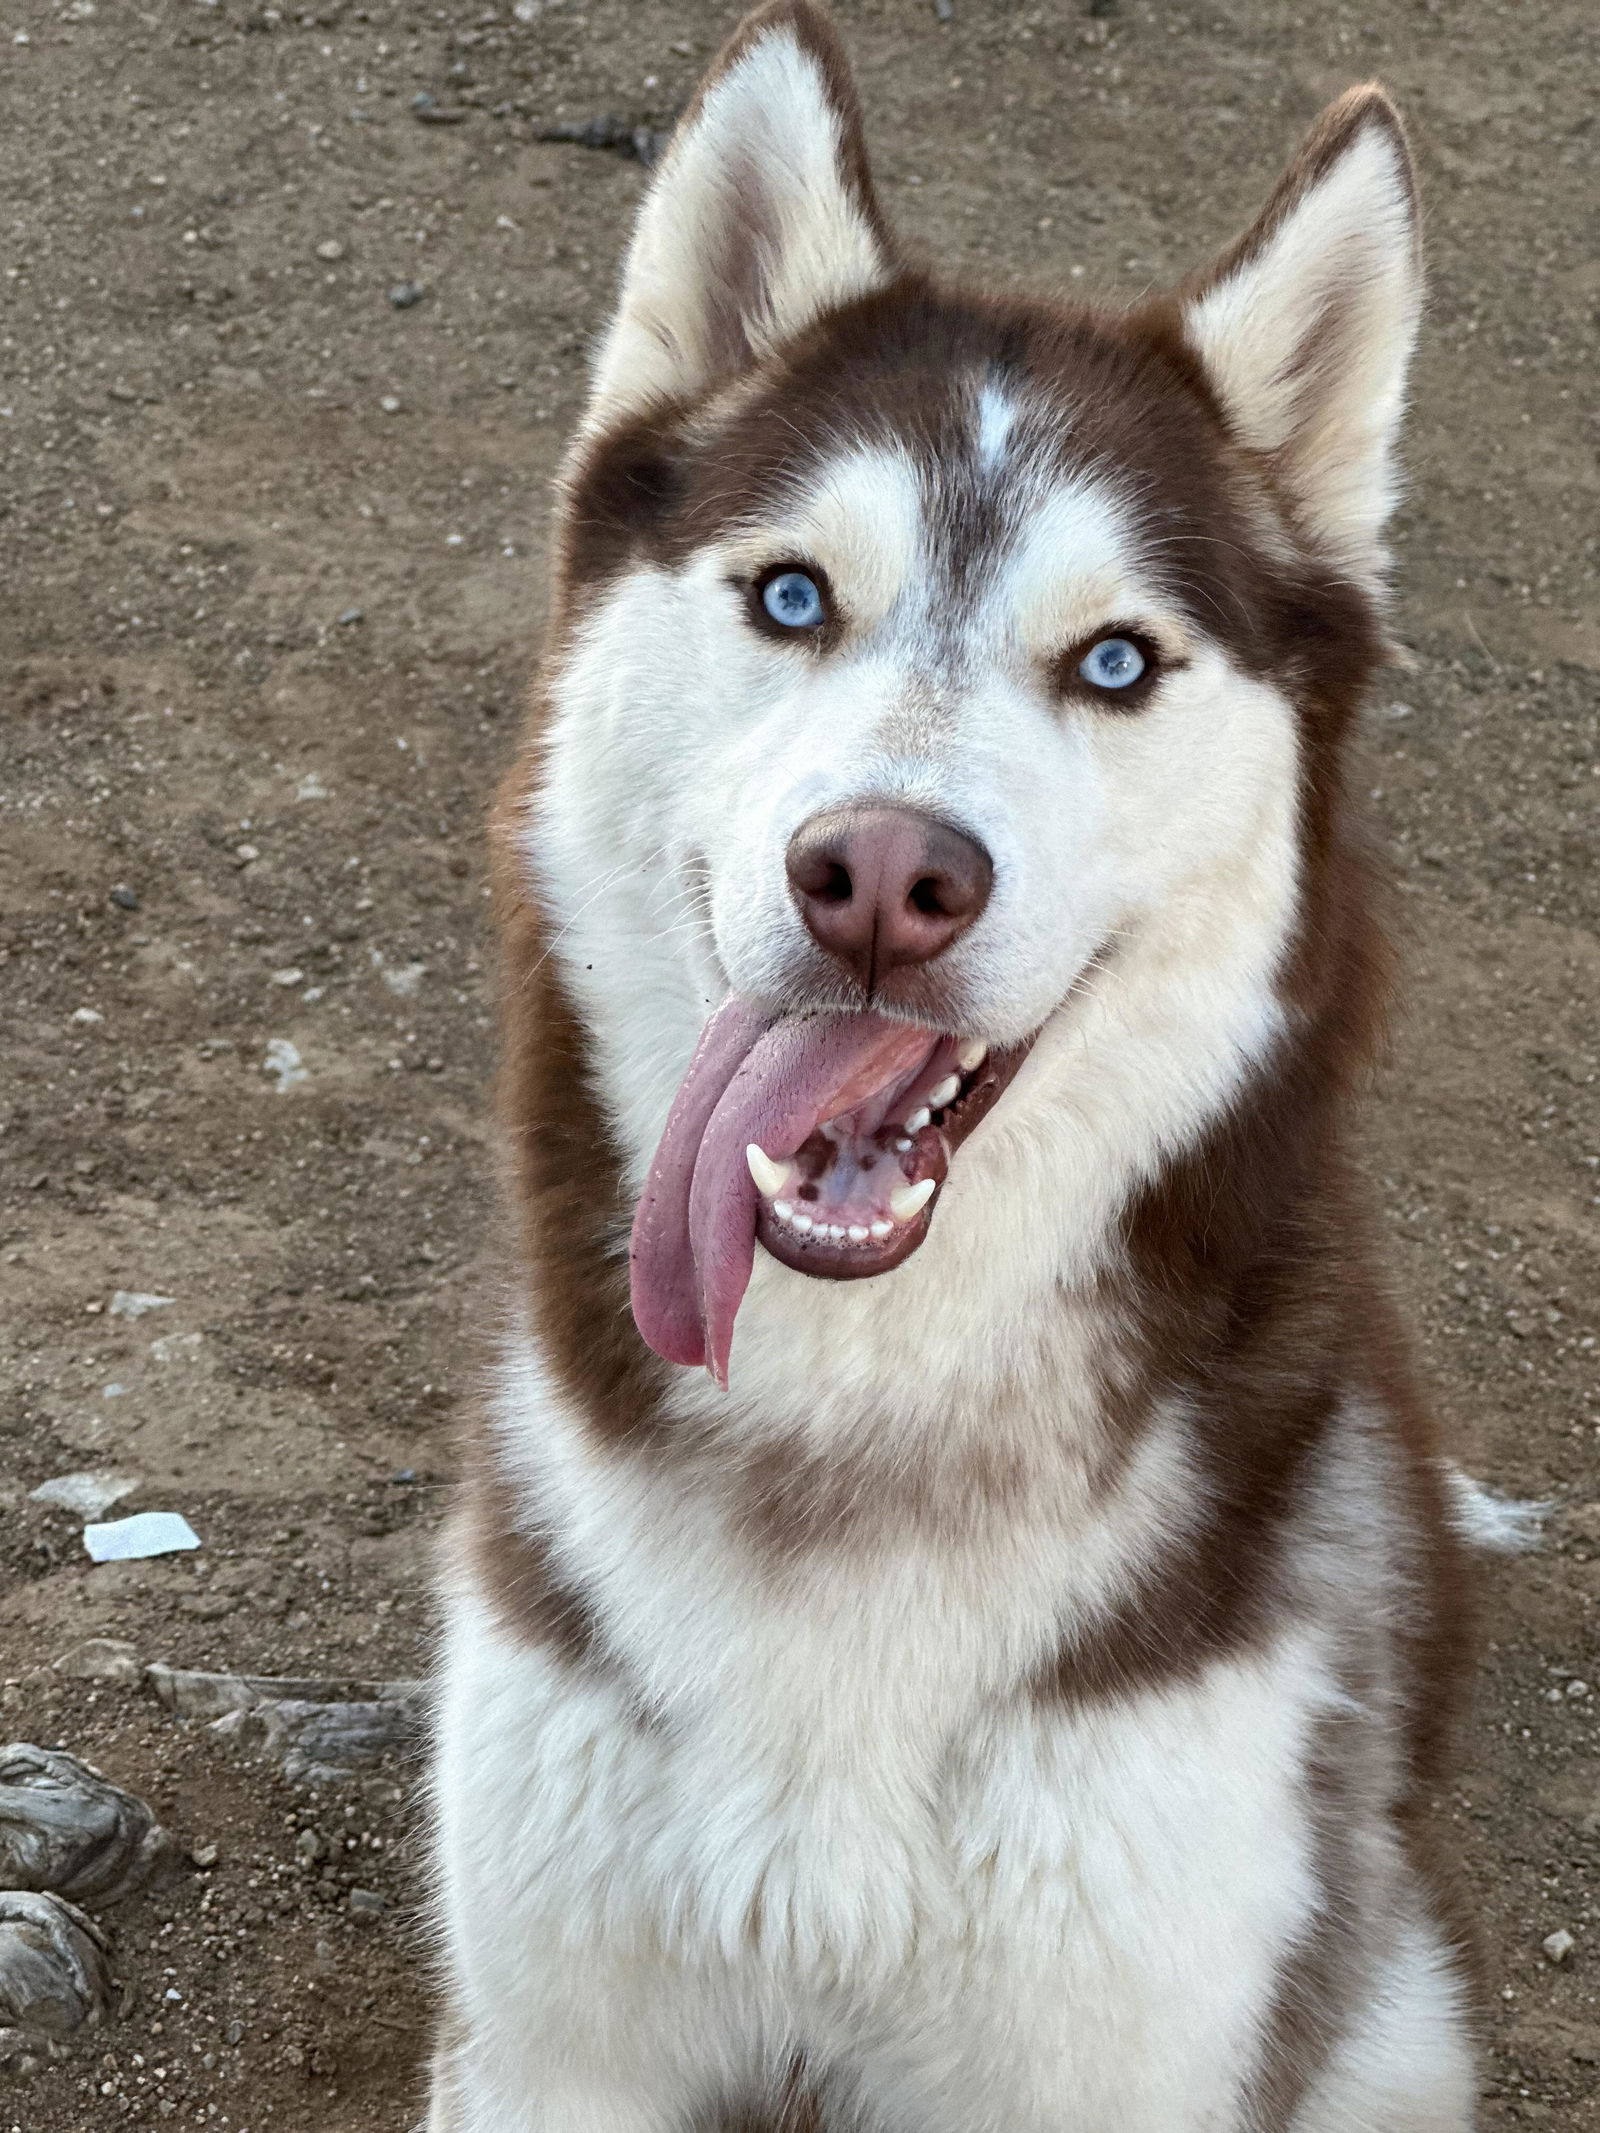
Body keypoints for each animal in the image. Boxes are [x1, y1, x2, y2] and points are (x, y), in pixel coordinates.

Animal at [428, 8, 1493, 2124]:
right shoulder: (553, 2045)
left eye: (1115, 661)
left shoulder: (1112, 2033)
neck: (855, 1420)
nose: (881, 879)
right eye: (790, 595)